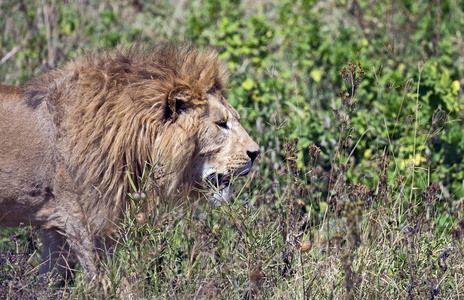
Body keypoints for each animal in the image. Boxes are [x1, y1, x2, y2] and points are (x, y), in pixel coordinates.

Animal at [0, 44, 260, 282]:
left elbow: (50, 280)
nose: (256, 153)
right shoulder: (79, 219)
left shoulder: (55, 228)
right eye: (221, 124)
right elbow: (102, 279)